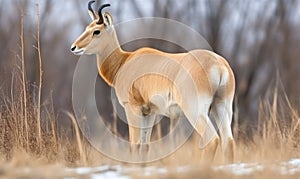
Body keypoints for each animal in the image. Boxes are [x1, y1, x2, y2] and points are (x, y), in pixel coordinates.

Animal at [70, 1, 234, 164]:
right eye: (87, 28)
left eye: (96, 31)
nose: (74, 47)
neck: (124, 61)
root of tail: (218, 64)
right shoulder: (149, 112)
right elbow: (145, 146)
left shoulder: (132, 108)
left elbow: (134, 145)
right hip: (221, 107)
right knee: (228, 141)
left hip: (195, 110)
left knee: (212, 140)